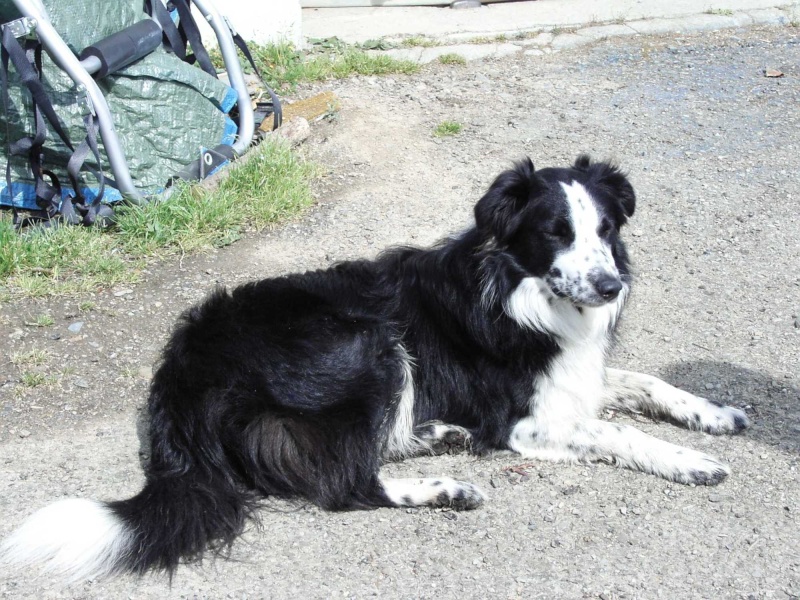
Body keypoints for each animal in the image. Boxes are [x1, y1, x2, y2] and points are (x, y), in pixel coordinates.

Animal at [1, 156, 752, 580]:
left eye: (606, 229)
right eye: (554, 233)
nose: (609, 286)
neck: (522, 291)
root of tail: (180, 375)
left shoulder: (575, 377)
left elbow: (648, 383)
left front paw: (713, 415)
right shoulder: (523, 421)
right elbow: (617, 430)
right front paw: (690, 462)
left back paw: (436, 436)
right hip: (371, 342)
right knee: (343, 480)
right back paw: (444, 487)